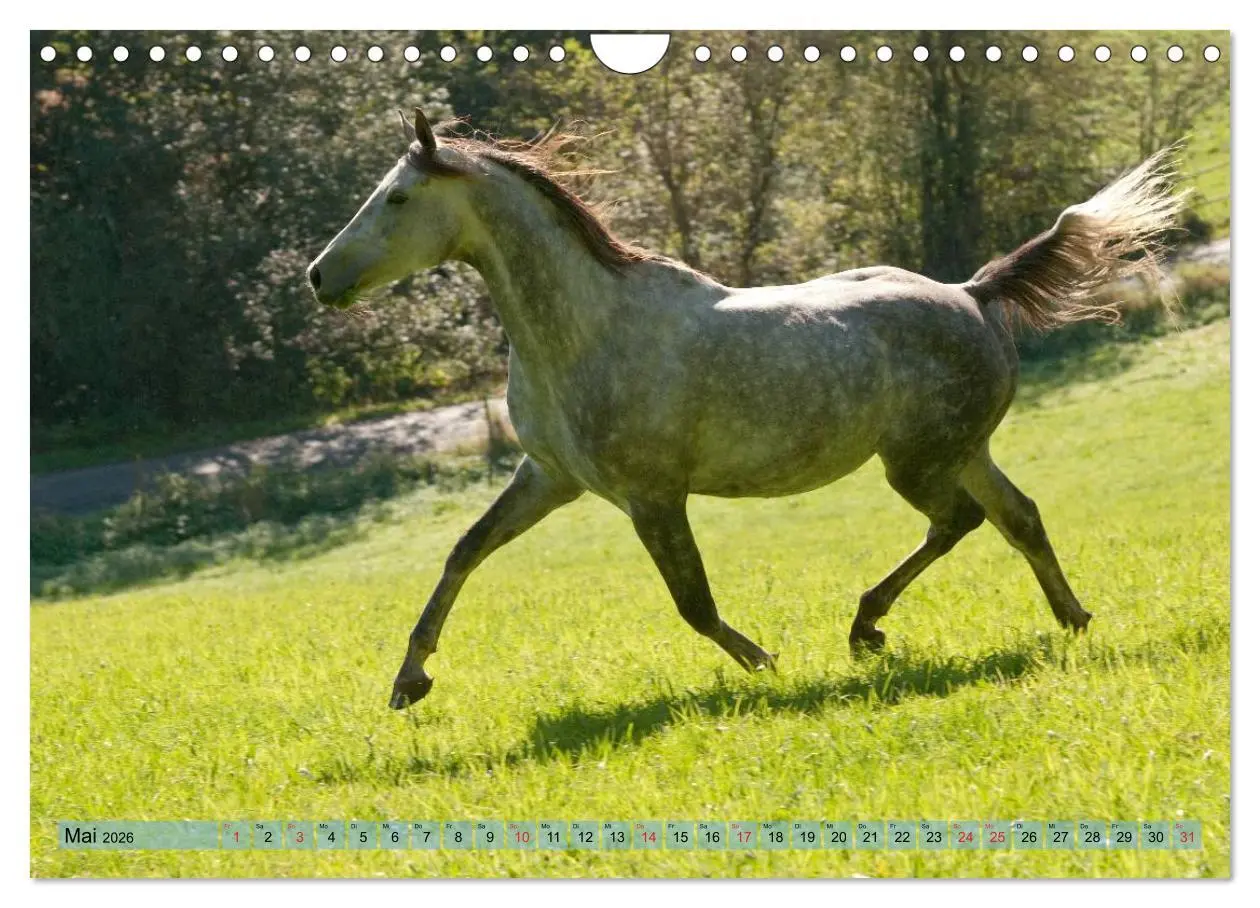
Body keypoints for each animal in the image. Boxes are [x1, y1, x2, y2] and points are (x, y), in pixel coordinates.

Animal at [307, 108, 1183, 710]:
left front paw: (765, 663)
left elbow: (693, 604)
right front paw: (409, 681)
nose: (319, 276)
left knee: (959, 522)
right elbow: (463, 552)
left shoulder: (651, 496)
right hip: (963, 451)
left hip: (917, 461)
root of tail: (973, 291)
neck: (585, 329)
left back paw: (867, 627)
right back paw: (1073, 618)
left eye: (398, 198)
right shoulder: (549, 477)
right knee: (1019, 517)